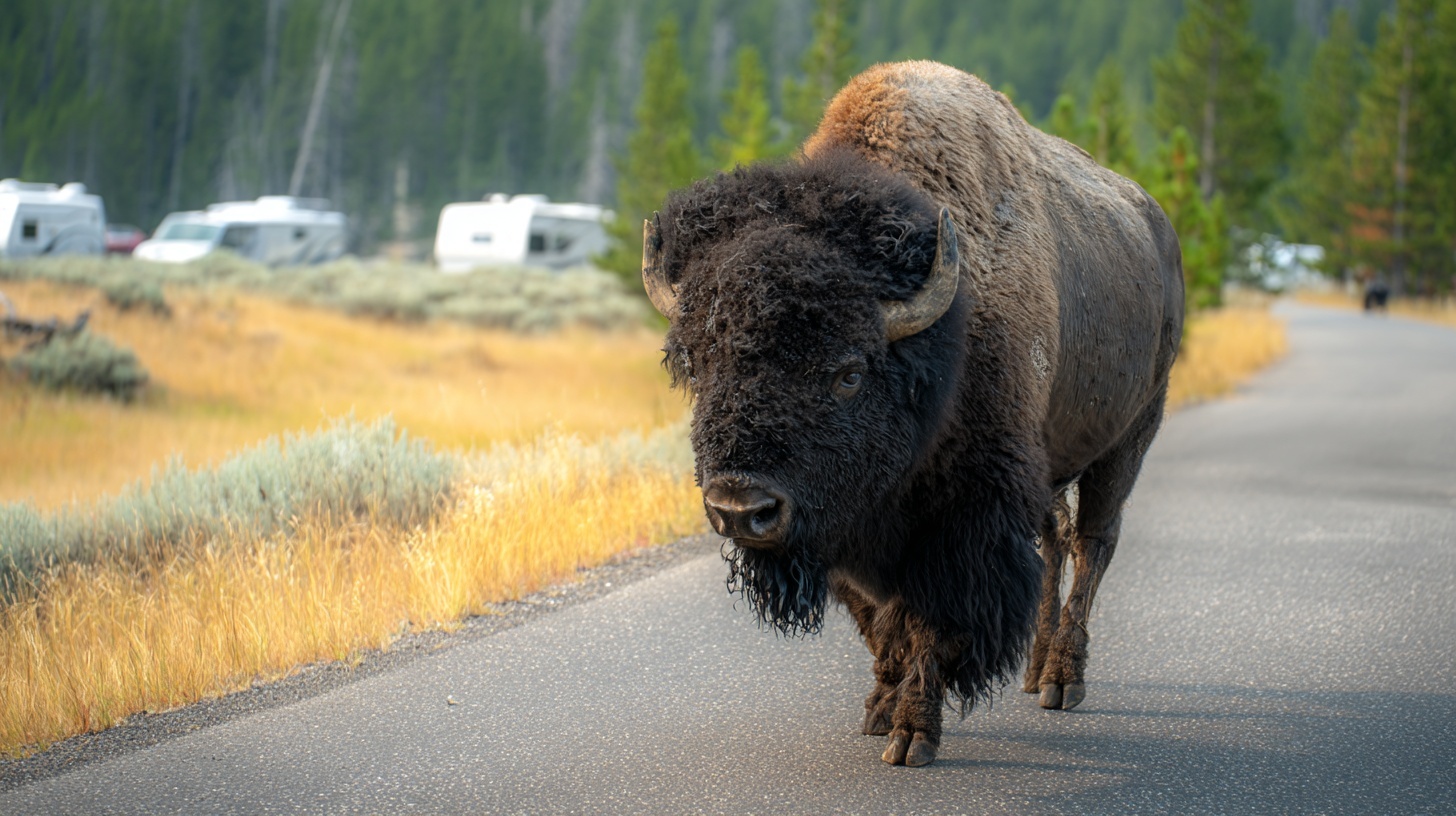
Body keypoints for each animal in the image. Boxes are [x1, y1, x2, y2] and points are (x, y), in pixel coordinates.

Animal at [643, 61, 1184, 767]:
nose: (740, 508)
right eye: (699, 363)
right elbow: (878, 616)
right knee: (1055, 542)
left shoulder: (961, 515)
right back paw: (1035, 670)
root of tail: (1157, 225)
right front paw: (879, 707)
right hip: (1049, 465)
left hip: (1131, 435)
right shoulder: (841, 520)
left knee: (1094, 543)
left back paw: (1063, 680)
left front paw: (910, 734)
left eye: (848, 372)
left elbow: (930, 616)